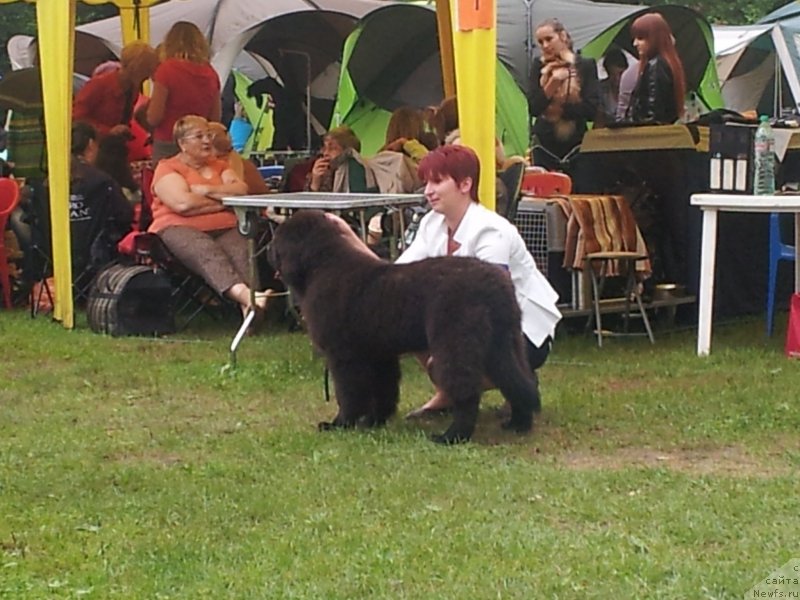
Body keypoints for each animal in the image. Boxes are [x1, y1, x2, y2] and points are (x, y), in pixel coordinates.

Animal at [270, 210, 544, 440]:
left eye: (279, 241)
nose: (269, 252)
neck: (322, 265)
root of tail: (495, 283)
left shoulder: (344, 356)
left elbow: (349, 393)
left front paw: (340, 424)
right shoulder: (378, 354)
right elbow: (384, 389)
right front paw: (374, 421)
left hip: (455, 345)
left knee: (467, 392)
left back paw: (452, 436)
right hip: (504, 344)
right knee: (518, 379)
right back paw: (519, 424)